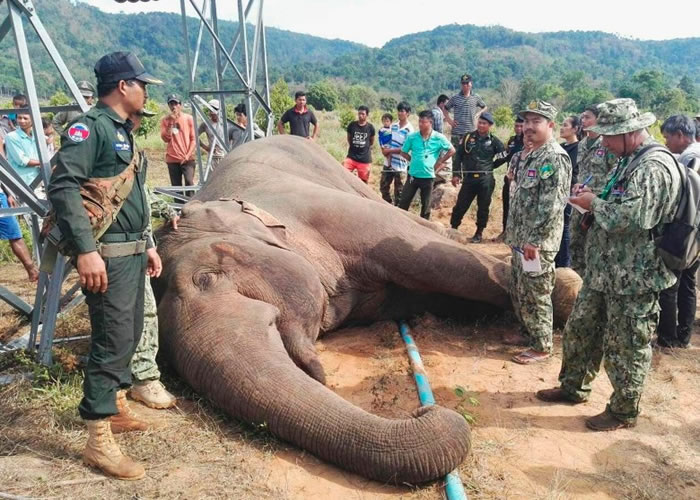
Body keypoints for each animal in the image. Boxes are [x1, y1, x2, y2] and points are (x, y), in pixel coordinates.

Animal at [153, 135, 580, 484]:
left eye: (206, 277)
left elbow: (441, 263)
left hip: (348, 180)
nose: (423, 411)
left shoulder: (327, 210)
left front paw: (566, 290)